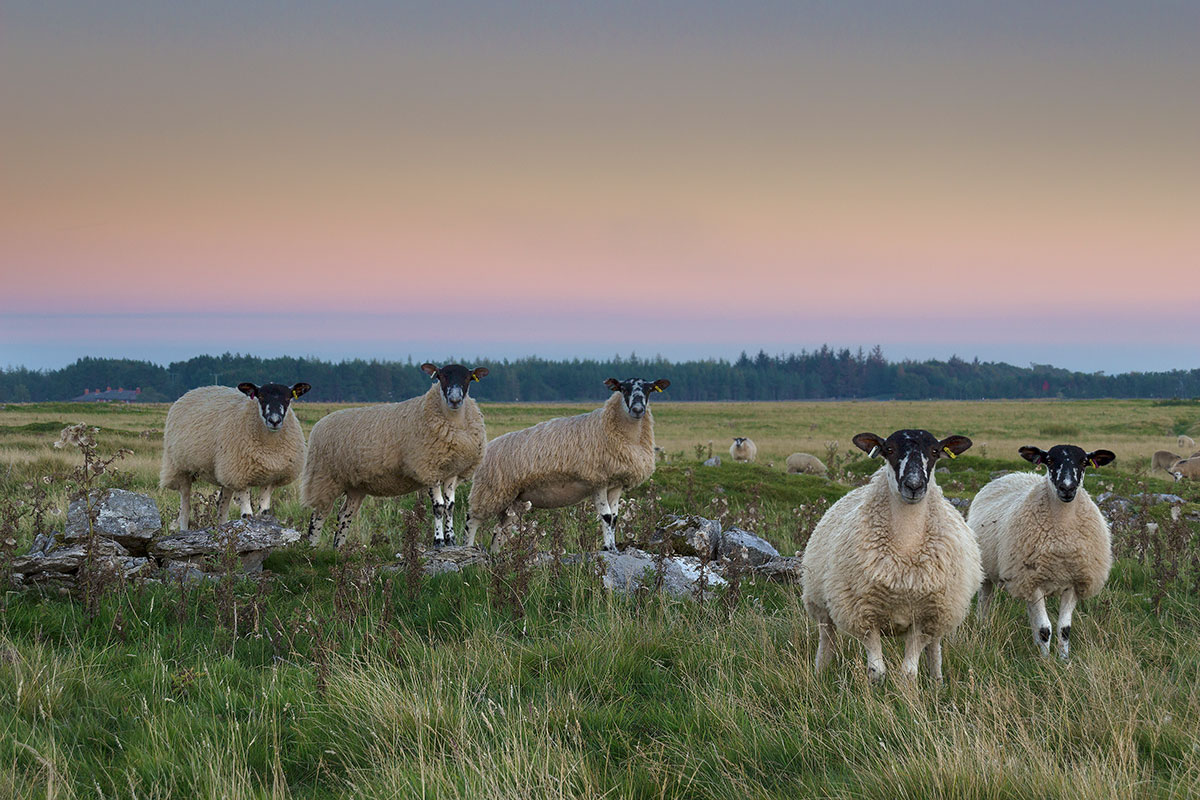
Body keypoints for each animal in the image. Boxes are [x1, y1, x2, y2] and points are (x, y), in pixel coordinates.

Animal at [160, 381, 314, 532]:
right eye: (261, 397)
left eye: (288, 398)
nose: (274, 420)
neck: (270, 448)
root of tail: (194, 390)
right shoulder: (240, 476)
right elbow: (247, 515)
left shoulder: (270, 478)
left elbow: (263, 512)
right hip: (180, 468)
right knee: (185, 507)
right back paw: (184, 529)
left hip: (225, 472)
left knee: (222, 506)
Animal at [300, 364, 487, 546]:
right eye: (441, 376)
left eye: (467, 378)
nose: (455, 400)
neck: (454, 421)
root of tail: (320, 423)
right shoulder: (428, 469)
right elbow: (439, 507)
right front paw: (439, 541)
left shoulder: (451, 472)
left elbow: (450, 506)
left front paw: (451, 540)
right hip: (323, 478)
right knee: (318, 515)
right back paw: (313, 547)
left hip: (355, 485)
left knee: (344, 515)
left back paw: (338, 548)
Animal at [465, 379, 672, 554]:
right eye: (623, 388)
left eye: (649, 389)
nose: (637, 409)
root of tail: (489, 447)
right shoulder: (598, 480)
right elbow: (606, 516)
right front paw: (607, 547)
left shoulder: (617, 483)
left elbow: (614, 518)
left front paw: (613, 548)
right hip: (490, 491)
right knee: (471, 520)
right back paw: (467, 549)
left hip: (513, 500)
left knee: (500, 531)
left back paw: (496, 557)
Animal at [801, 429, 979, 686]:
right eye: (889, 450)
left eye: (935, 451)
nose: (914, 485)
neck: (906, 546)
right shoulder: (863, 615)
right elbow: (877, 670)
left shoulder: (924, 618)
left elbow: (909, 671)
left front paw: (909, 692)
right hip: (821, 605)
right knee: (827, 640)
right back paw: (819, 674)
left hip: (943, 610)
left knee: (935, 647)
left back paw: (937, 682)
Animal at [964, 443, 1113, 657]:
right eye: (1049, 460)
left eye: (1084, 462)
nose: (1067, 488)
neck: (1062, 534)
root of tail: (1013, 475)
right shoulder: (1034, 582)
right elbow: (1045, 628)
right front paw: (1045, 659)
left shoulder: (1072, 583)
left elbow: (1064, 629)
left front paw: (1063, 659)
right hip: (990, 570)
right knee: (985, 601)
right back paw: (982, 628)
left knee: (1031, 611)